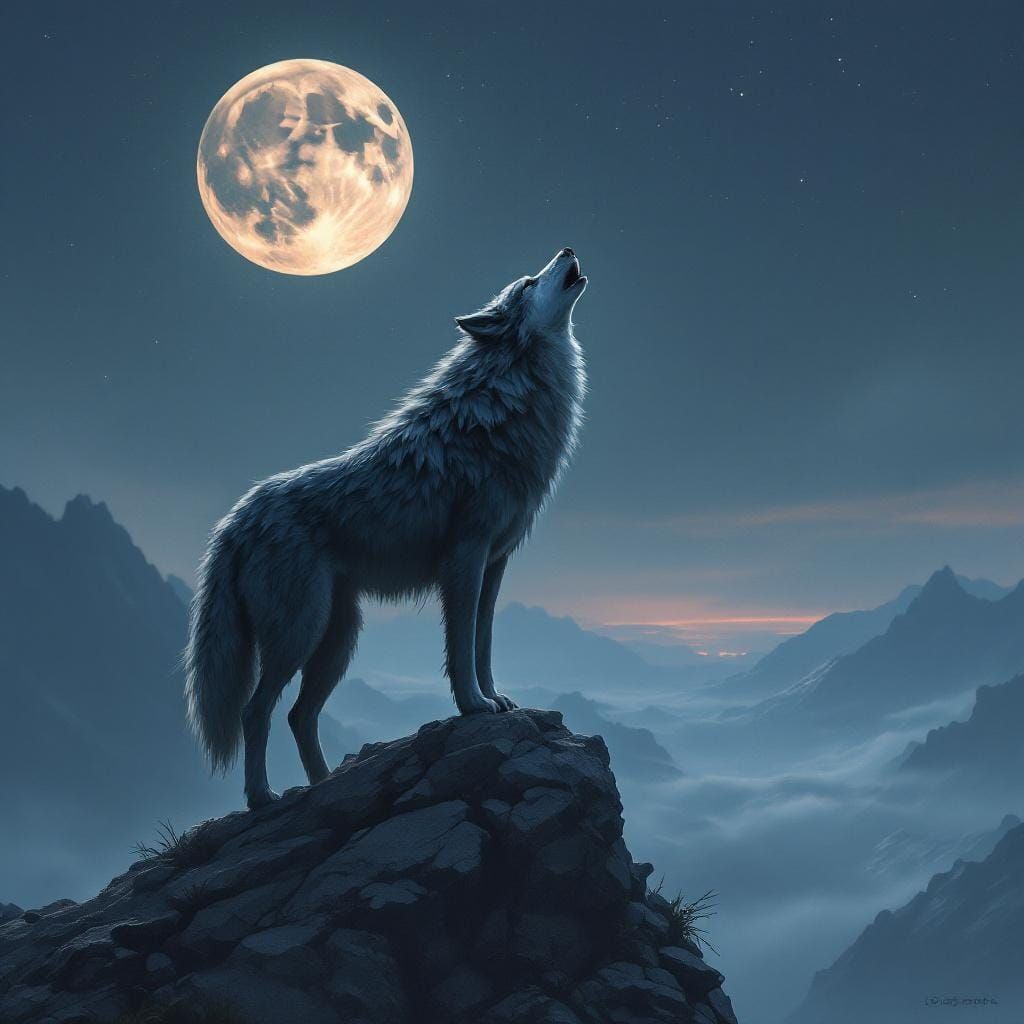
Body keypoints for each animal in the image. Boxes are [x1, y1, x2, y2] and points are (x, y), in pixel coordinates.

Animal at [185, 247, 587, 808]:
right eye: (529, 282)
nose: (567, 249)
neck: (501, 405)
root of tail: (234, 519)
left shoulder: (496, 563)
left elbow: (483, 644)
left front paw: (495, 698)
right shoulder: (466, 557)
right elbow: (460, 648)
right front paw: (472, 705)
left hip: (337, 638)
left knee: (298, 715)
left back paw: (323, 786)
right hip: (300, 633)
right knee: (255, 710)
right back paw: (263, 797)